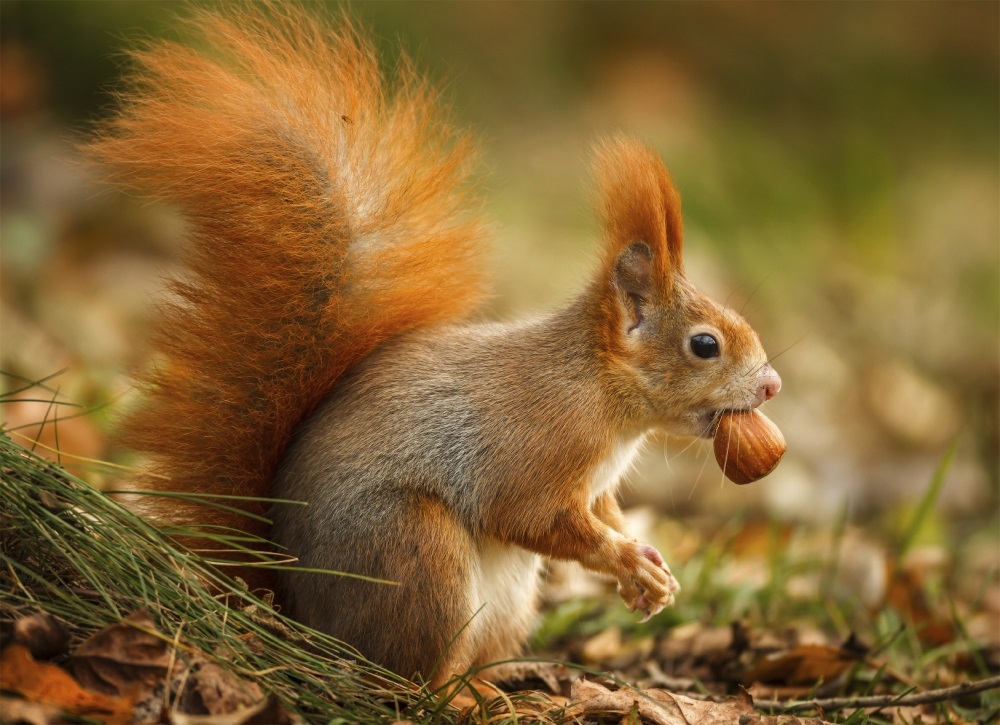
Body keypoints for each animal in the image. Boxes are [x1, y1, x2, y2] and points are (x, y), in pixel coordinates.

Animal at [88, 4, 780, 684]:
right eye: (704, 345)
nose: (771, 384)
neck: (598, 390)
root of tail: (298, 612)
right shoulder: (535, 445)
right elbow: (533, 516)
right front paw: (627, 560)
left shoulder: (595, 482)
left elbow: (604, 509)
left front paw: (651, 574)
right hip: (417, 554)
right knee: (412, 679)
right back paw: (459, 697)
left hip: (502, 594)